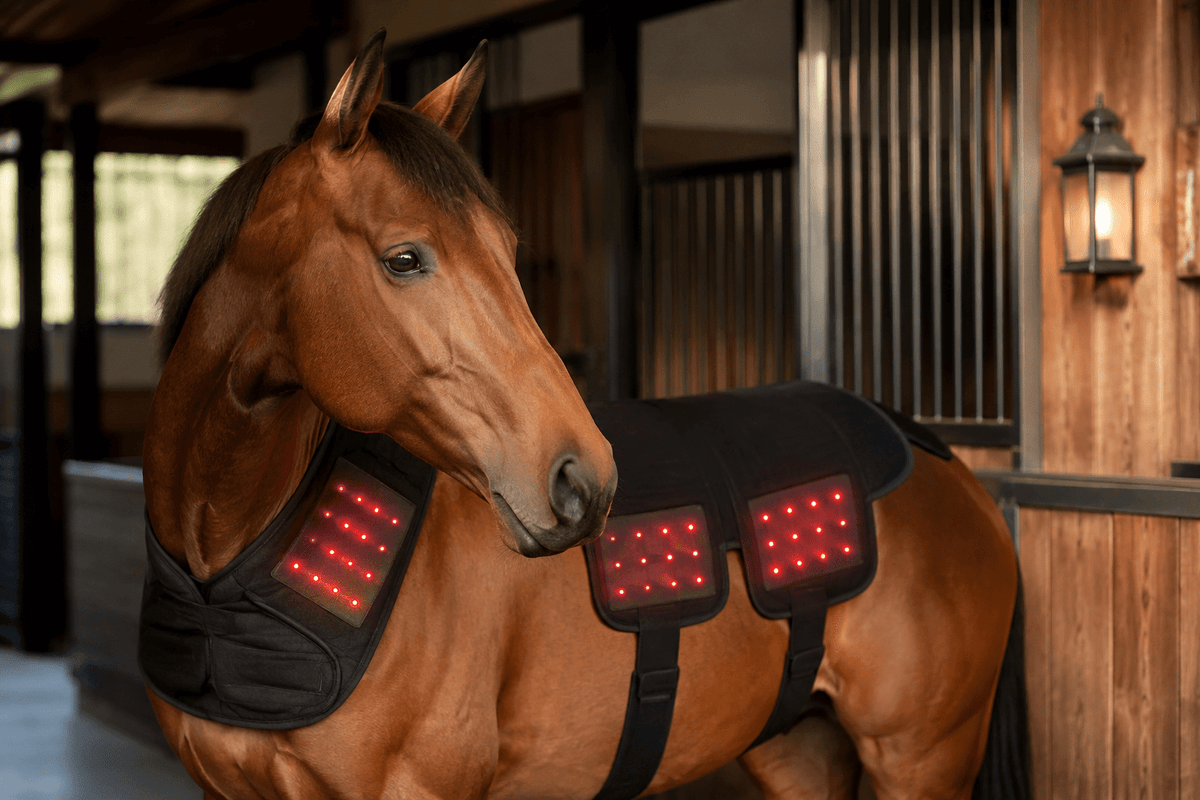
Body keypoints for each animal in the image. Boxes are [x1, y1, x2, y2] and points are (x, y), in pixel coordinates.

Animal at [141, 30, 1027, 800]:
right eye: (404, 258)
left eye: (506, 250)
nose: (583, 481)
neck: (234, 556)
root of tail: (937, 459)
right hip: (799, 748)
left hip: (922, 759)